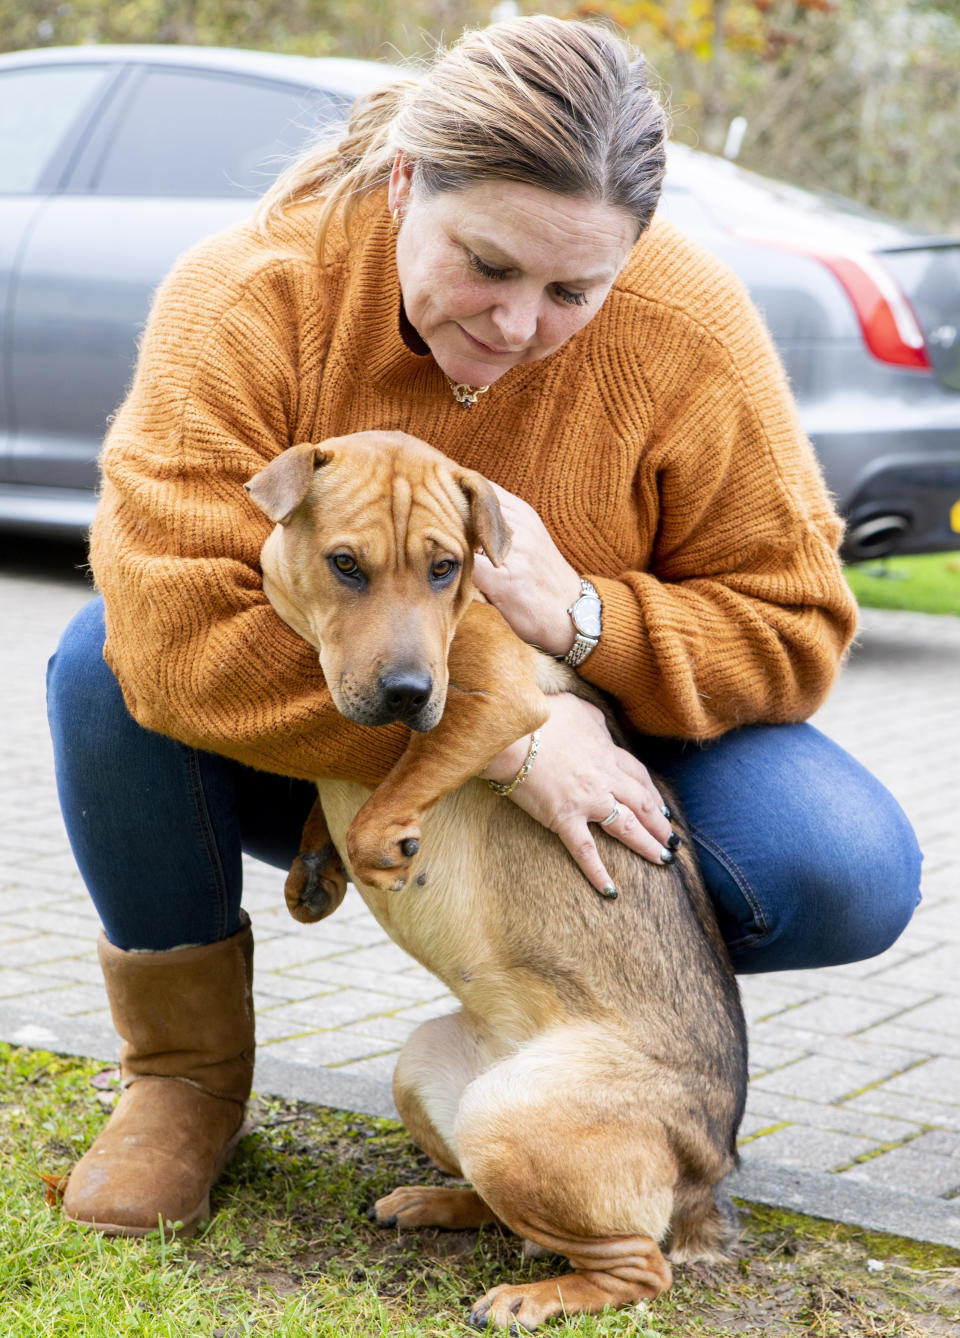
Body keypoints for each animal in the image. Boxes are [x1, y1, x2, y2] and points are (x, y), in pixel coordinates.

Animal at [243, 433, 744, 1332]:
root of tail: (708, 1171)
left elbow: (401, 781)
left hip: (507, 1120)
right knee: (514, 1214)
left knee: (635, 1265)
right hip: (425, 1076)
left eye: (445, 568)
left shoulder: (491, 700)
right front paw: (315, 865)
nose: (409, 690)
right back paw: (436, 1204)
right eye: (345, 564)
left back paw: (529, 1297)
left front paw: (383, 843)